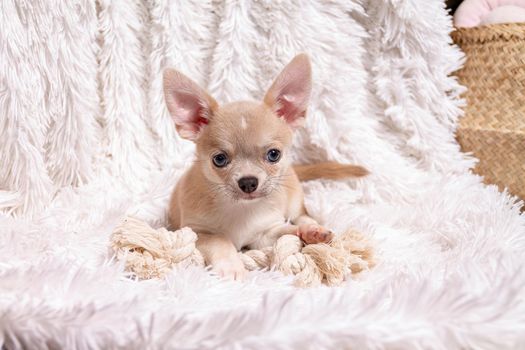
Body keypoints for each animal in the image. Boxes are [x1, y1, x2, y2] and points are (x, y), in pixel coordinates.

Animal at [163, 54, 364, 278]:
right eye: (219, 159)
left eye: (273, 155)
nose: (248, 182)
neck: (240, 209)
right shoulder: (197, 232)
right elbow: (220, 240)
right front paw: (231, 267)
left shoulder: (265, 235)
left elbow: (287, 230)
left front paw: (308, 233)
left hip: (294, 201)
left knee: (303, 216)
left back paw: (313, 227)